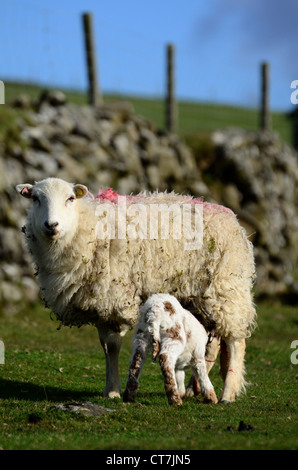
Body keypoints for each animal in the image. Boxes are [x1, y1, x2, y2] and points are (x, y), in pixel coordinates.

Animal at [15, 178, 256, 402]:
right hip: (202, 297)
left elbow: (112, 345)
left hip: (226, 287)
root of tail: (234, 220)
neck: (86, 225)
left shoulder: (114, 297)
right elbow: (105, 346)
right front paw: (109, 388)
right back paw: (192, 389)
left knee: (236, 342)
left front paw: (113, 391)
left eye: (70, 198)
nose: (51, 225)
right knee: (211, 342)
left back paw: (227, 394)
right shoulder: (100, 301)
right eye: (35, 198)